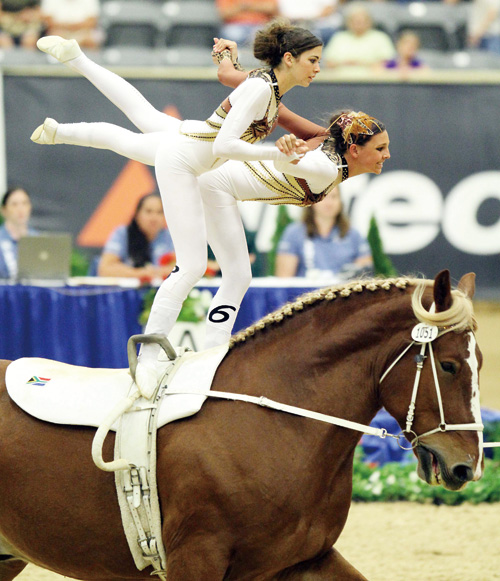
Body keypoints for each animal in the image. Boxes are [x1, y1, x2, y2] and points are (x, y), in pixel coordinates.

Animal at [0, 272, 484, 580]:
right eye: (449, 365)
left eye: (479, 362)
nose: (468, 467)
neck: (279, 422)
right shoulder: (197, 556)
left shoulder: (303, 560)